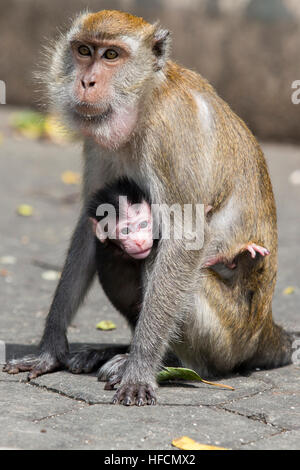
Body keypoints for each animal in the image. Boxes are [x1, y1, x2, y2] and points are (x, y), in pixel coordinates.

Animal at [4, 10, 290, 408]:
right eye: (84, 50)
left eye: (111, 55)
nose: (87, 81)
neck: (144, 102)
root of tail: (265, 329)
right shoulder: (101, 142)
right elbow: (90, 226)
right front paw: (50, 350)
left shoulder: (172, 132)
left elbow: (184, 239)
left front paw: (139, 370)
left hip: (230, 335)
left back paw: (164, 362)